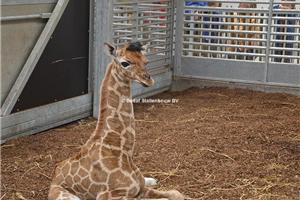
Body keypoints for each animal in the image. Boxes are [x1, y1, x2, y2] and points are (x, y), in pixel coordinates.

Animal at [48, 41, 184, 200]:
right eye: (125, 63)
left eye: (146, 61)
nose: (148, 80)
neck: (123, 151)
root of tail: (54, 175)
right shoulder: (108, 195)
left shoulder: (139, 188)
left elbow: (176, 194)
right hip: (66, 196)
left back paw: (152, 179)